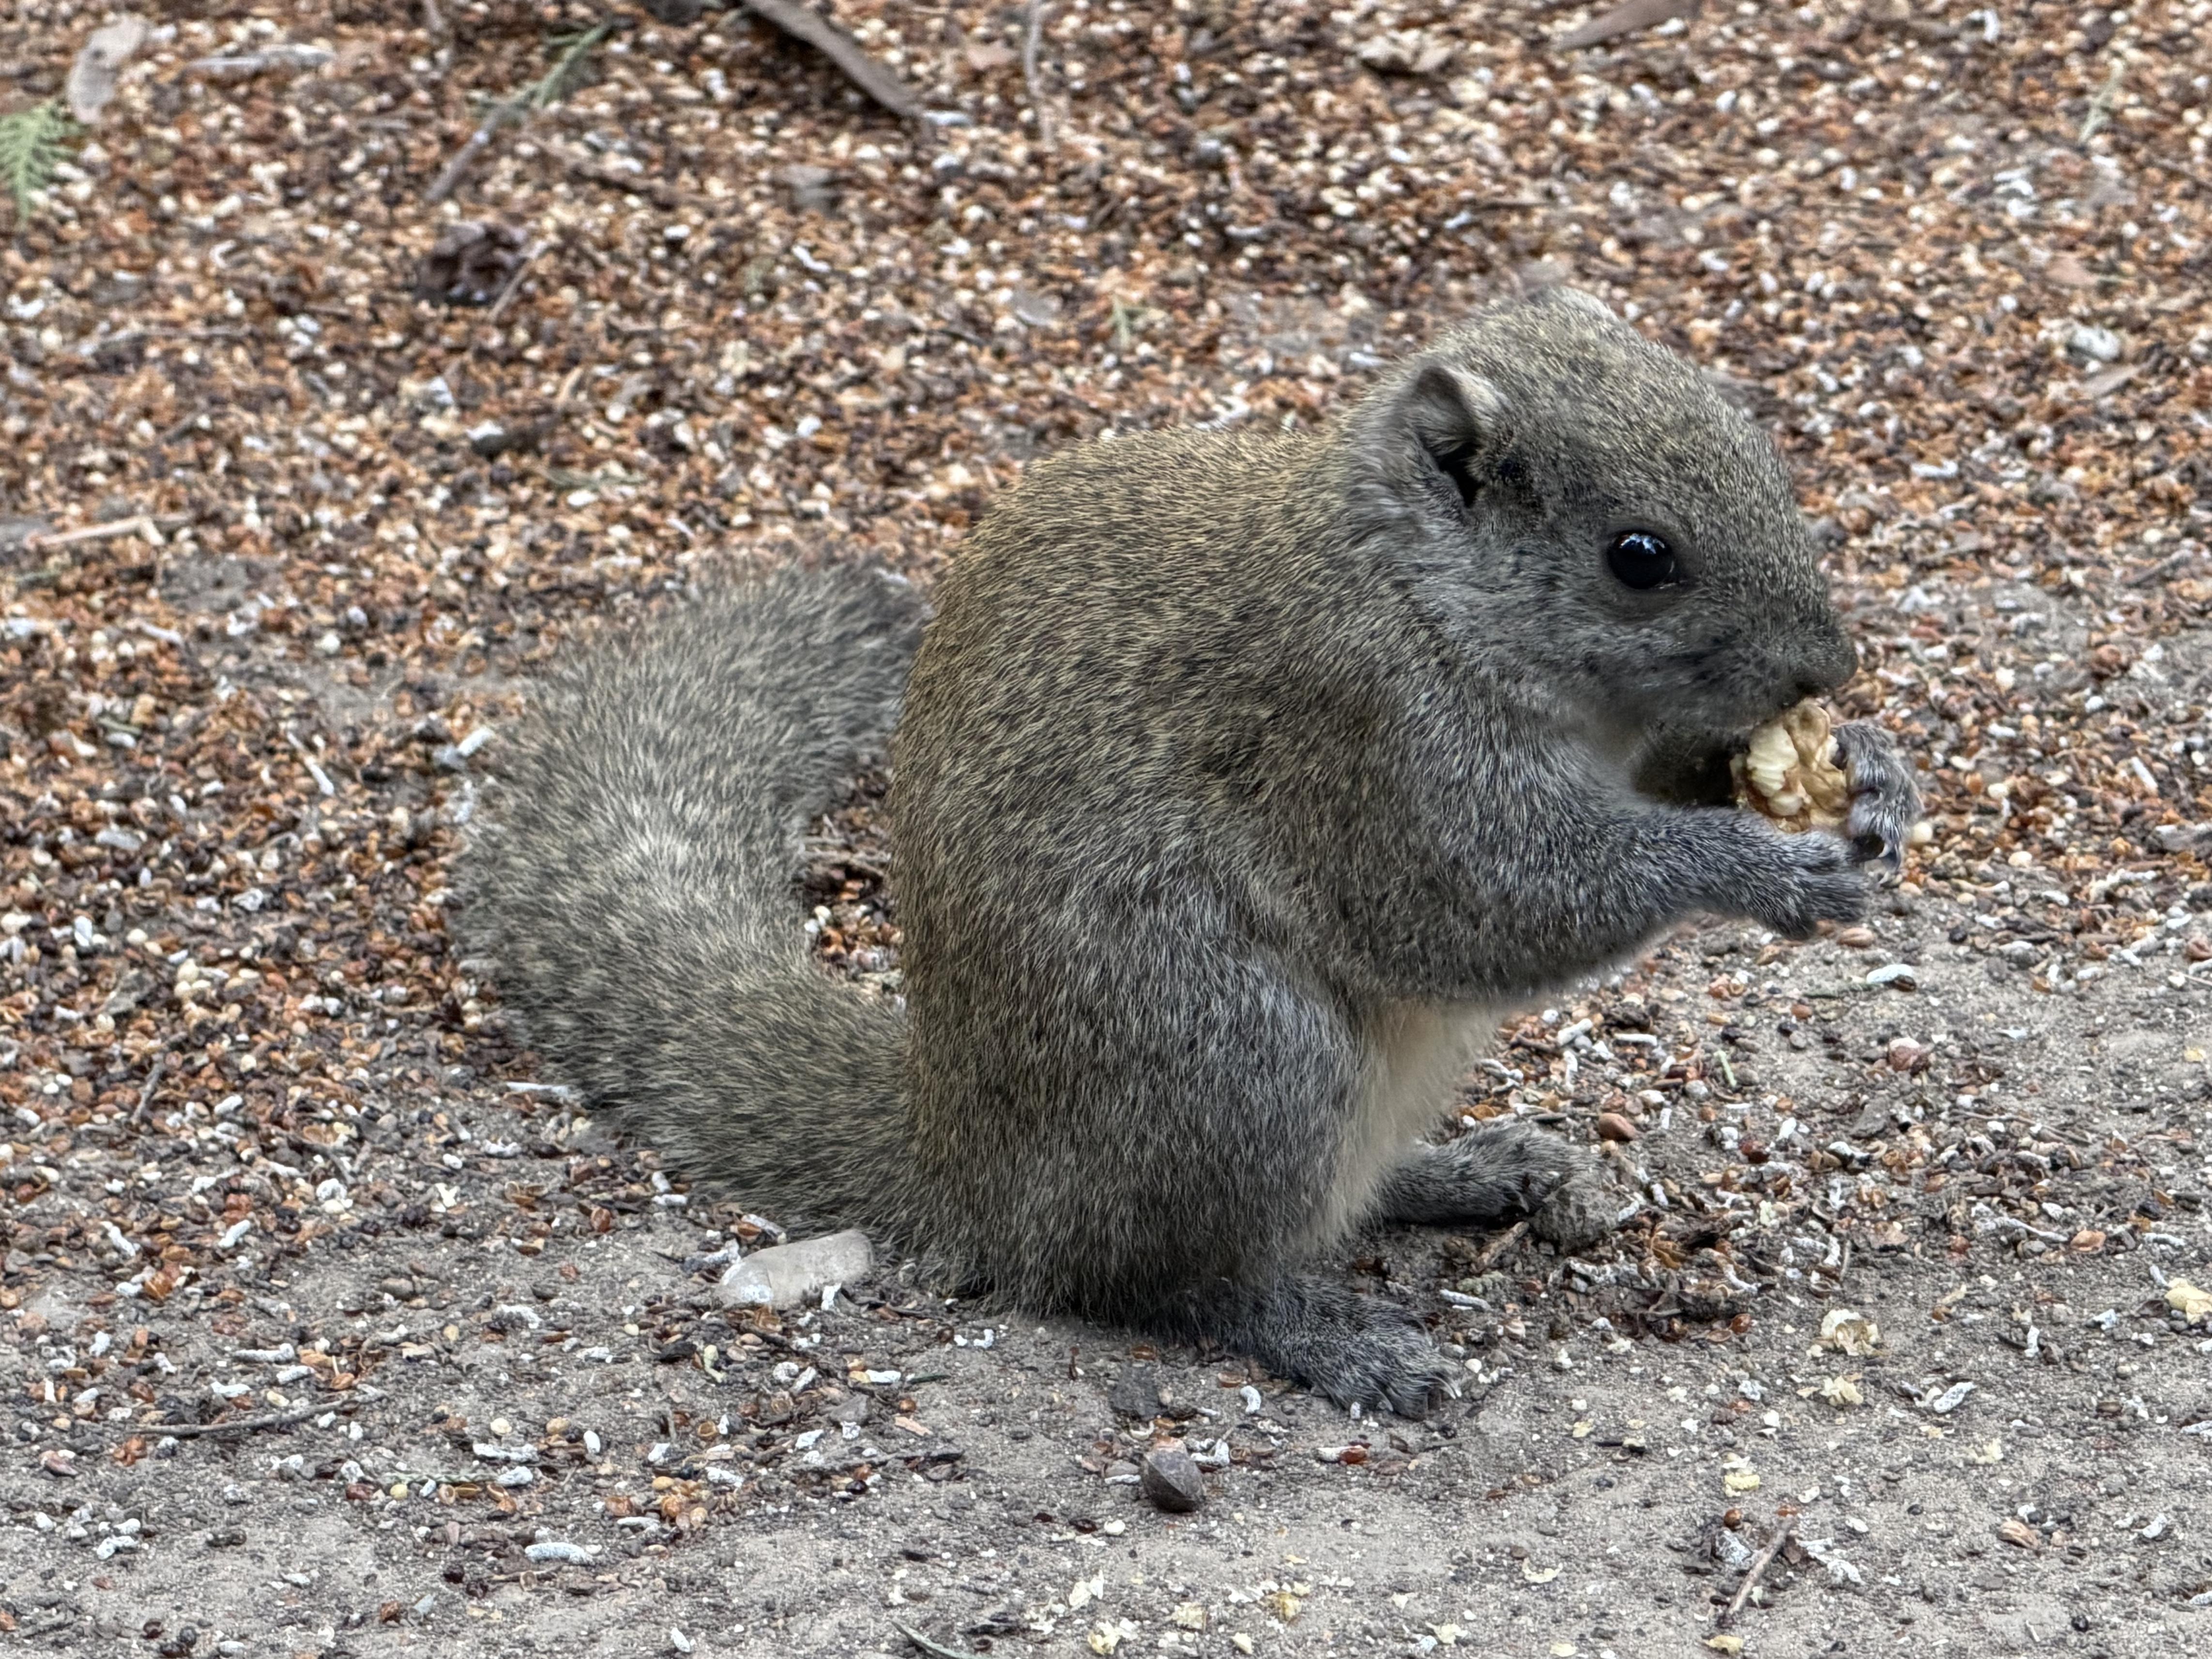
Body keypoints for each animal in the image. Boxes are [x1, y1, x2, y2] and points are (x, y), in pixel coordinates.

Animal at [460, 287, 1920, 1414]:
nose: (1828, 664)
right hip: (1235, 1059)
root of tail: (967, 1161)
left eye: (1754, 440)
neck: (1422, 589)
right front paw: (1758, 870)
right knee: (1157, 1278)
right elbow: (1486, 904)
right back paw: (1332, 1339)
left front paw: (1874, 772)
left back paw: (1475, 1171)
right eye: (1638, 556)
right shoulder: (1364, 737)